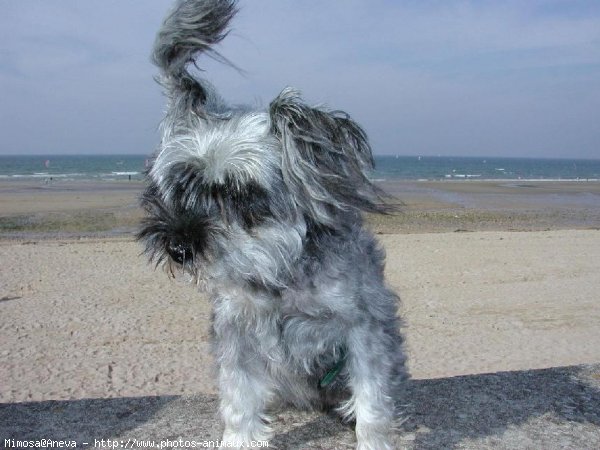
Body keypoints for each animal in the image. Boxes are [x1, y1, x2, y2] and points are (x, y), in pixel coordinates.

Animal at [138, 1, 406, 448]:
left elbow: (372, 401)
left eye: (238, 194)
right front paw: (240, 438)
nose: (178, 247)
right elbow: (239, 399)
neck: (277, 271)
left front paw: (374, 439)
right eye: (179, 186)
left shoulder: (361, 330)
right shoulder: (236, 331)